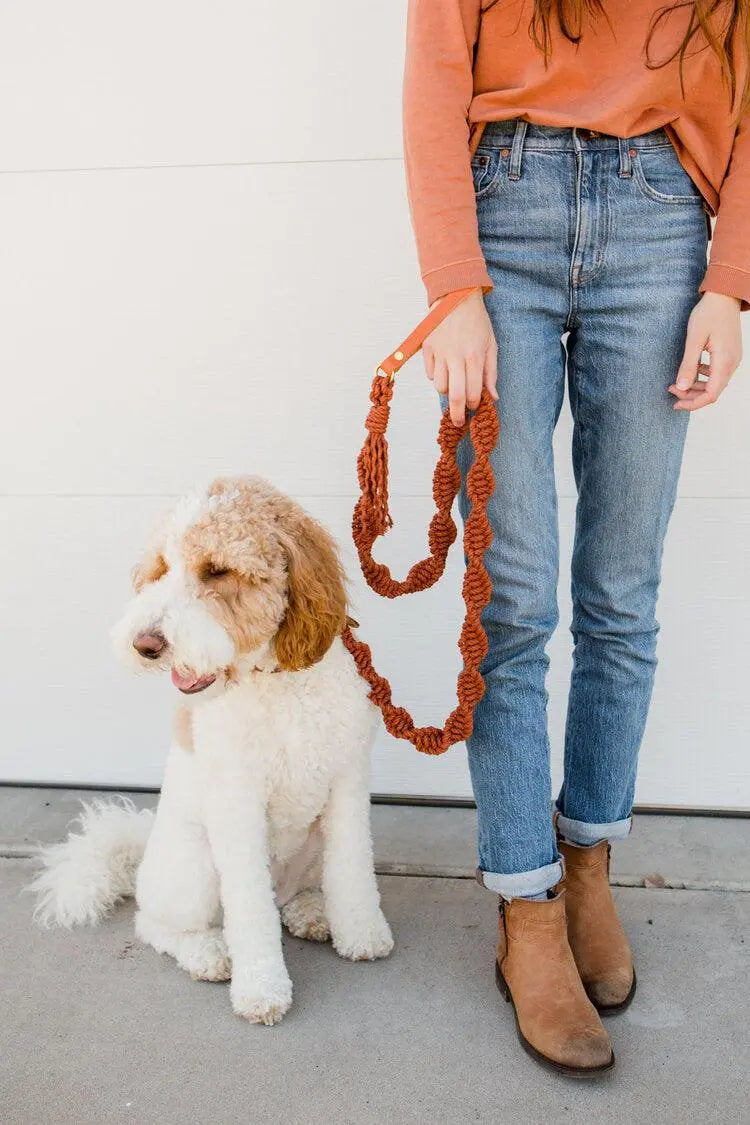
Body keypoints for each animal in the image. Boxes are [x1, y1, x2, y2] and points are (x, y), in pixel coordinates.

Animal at [30, 479, 393, 1026]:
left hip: (309, 847)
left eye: (218, 570)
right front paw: (261, 989)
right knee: (154, 924)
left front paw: (363, 933)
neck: (277, 681)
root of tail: (144, 850)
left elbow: (352, 869)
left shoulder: (347, 784)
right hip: (195, 867)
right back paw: (209, 954)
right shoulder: (238, 804)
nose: (145, 644)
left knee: (293, 896)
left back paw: (310, 910)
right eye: (161, 568)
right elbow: (249, 912)